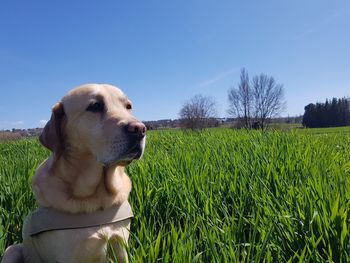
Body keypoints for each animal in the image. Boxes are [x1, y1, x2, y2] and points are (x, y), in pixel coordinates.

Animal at [1, 84, 146, 263]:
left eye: (128, 106)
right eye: (95, 106)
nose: (140, 129)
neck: (96, 200)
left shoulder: (121, 248)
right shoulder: (69, 255)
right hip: (12, 249)